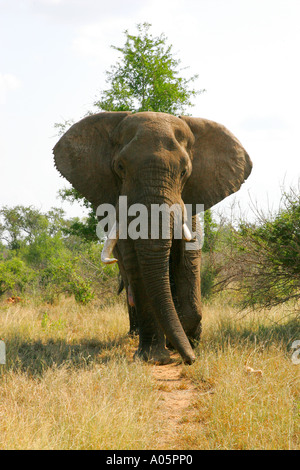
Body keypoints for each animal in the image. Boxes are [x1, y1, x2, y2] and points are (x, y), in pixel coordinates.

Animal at [52, 112, 252, 366]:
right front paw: (155, 357)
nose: (191, 360)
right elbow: (138, 267)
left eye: (184, 172)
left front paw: (187, 341)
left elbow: (188, 258)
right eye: (120, 167)